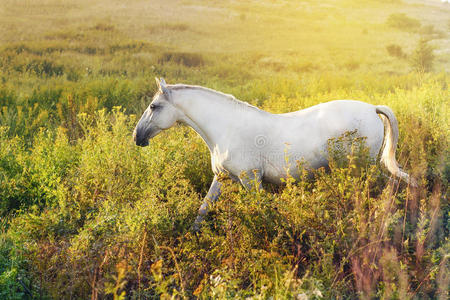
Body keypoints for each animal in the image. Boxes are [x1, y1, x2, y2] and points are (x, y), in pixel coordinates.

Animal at [133, 77, 412, 230]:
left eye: (154, 106)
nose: (137, 137)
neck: (226, 128)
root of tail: (372, 107)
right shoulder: (221, 178)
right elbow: (203, 210)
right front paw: (191, 235)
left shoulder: (251, 179)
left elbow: (262, 210)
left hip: (361, 167)